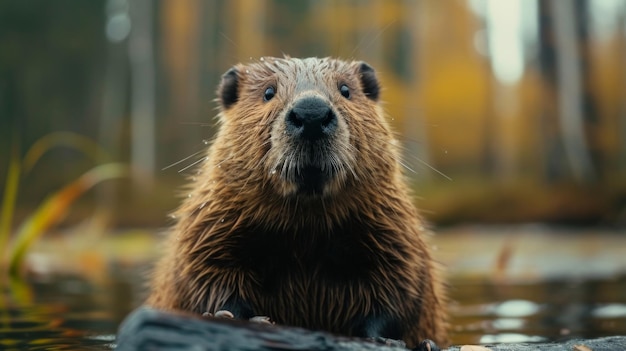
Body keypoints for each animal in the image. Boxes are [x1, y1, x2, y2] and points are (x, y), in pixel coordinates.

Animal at [147, 57, 444, 350]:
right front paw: (240, 317)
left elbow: (400, 285)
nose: (311, 113)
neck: (305, 224)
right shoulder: (212, 224)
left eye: (346, 90)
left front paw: (400, 340)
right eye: (268, 92)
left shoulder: (392, 227)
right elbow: (203, 272)